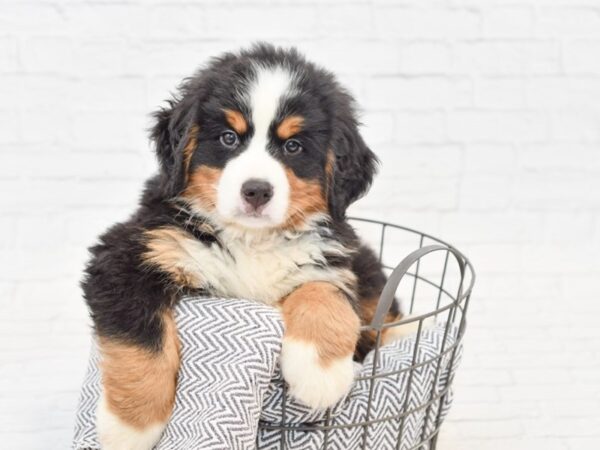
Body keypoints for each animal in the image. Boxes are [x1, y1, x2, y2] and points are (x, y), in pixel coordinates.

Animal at [82, 43, 404, 450]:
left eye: (293, 146)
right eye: (229, 138)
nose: (256, 191)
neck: (252, 241)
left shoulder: (330, 256)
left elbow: (324, 292)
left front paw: (320, 373)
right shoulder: (128, 254)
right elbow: (142, 340)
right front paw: (129, 429)